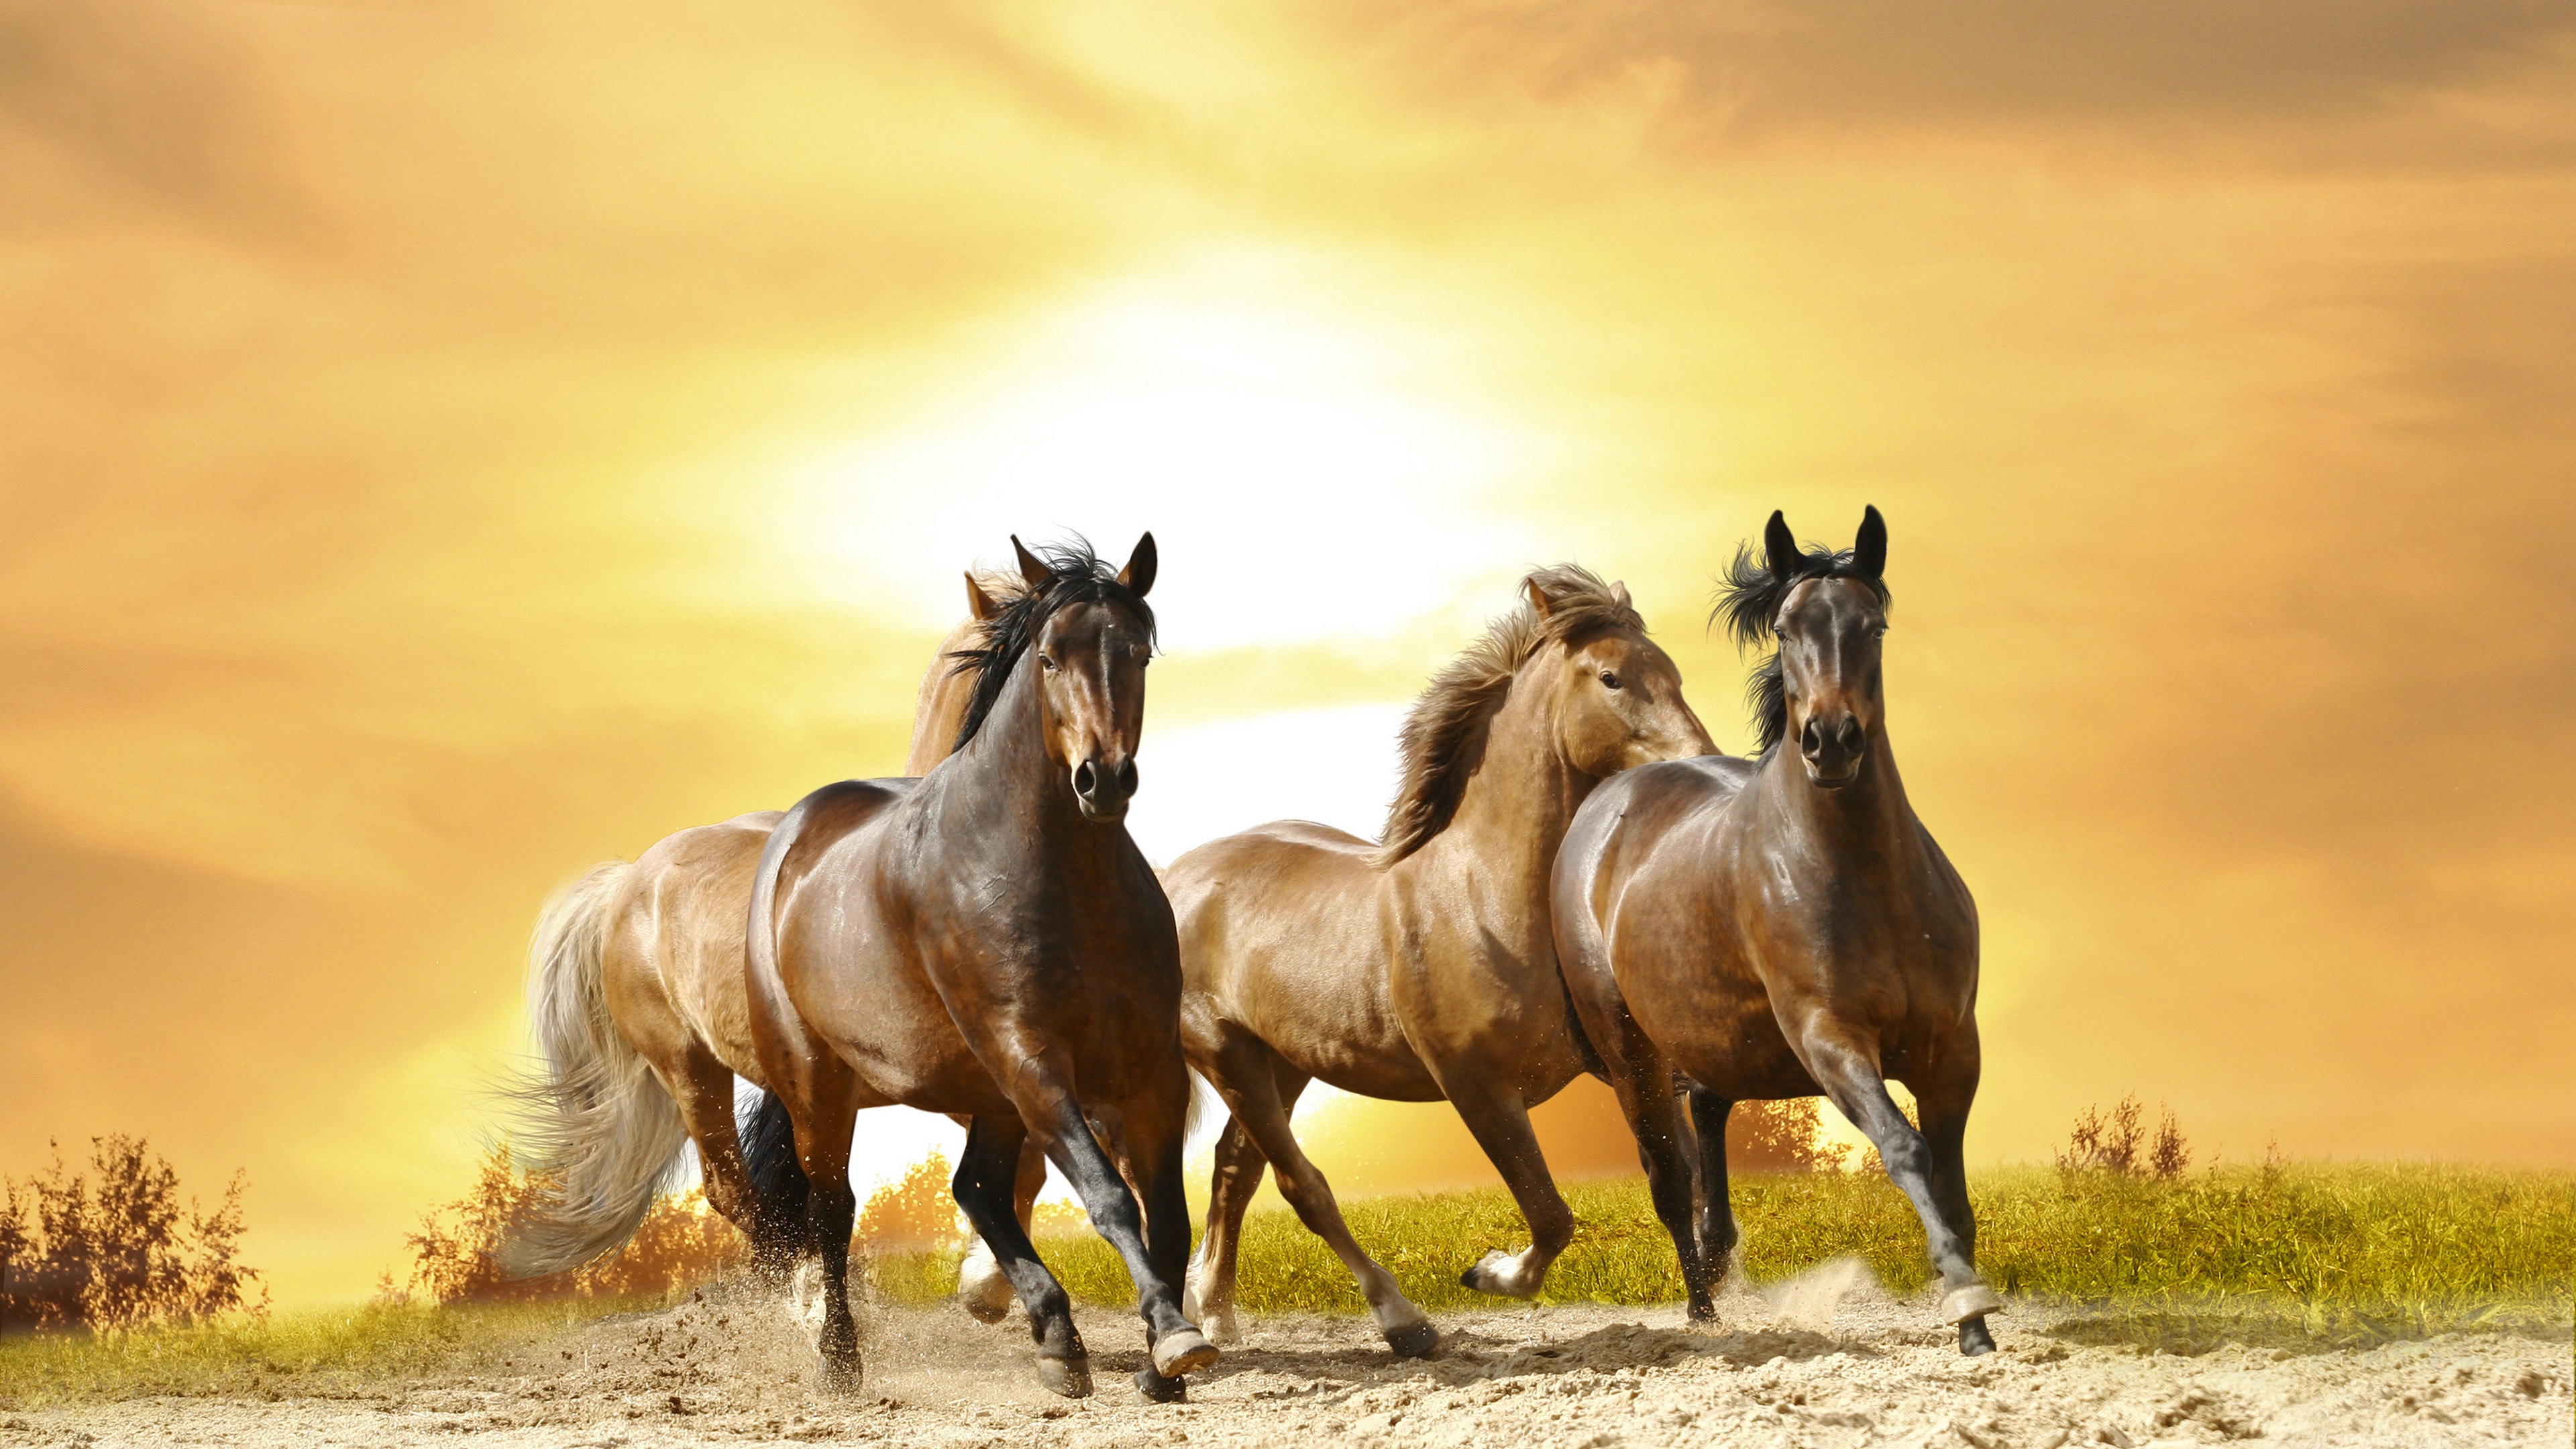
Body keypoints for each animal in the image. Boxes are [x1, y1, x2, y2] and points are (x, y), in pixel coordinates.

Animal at [744, 534, 1215, 1402]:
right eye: (1051, 658)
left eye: (1138, 652)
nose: (1104, 779)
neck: (1064, 880)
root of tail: (792, 838)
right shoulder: (1032, 1057)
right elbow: (1109, 1198)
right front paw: (1173, 1338)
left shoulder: (1149, 1068)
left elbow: (1166, 1213)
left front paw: (1162, 1362)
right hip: (823, 1087)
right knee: (835, 1210)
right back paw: (840, 1360)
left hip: (987, 1091)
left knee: (978, 1189)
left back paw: (1058, 1340)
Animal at [1164, 566, 1716, 1357]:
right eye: (1612, 677)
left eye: (1672, 671)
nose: (1699, 763)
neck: (1485, 897)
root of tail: (1176, 877)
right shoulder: (1476, 1087)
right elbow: (1552, 1216)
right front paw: (1488, 1272)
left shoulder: (1630, 1063)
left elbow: (1676, 1181)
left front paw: (1712, 1310)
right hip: (1228, 1055)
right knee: (1302, 1185)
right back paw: (1403, 1322)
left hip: (1283, 1064)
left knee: (1235, 1171)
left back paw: (1215, 1311)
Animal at [1548, 507, 2004, 1356]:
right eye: (1788, 629)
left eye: (1873, 624)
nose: (1831, 740)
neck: (1866, 878)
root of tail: (1608, 800)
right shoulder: (1830, 1038)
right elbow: (1906, 1149)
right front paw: (1966, 1303)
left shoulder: (1953, 1049)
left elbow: (1953, 1183)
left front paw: (1975, 1318)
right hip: (1631, 1052)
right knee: (1669, 1178)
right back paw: (1703, 1314)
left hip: (1715, 1037)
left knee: (1707, 1122)